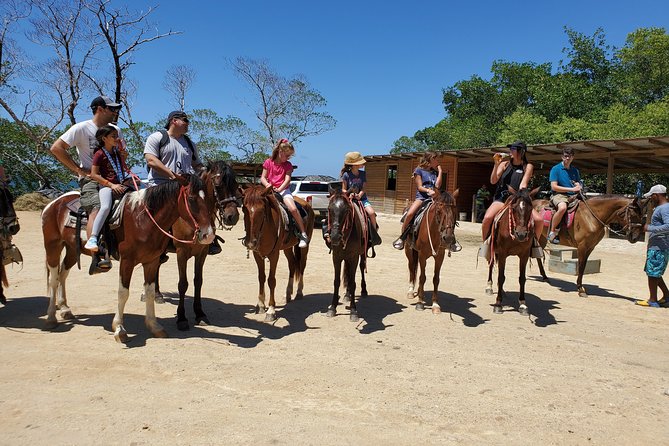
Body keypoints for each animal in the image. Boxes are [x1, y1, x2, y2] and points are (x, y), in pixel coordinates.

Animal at [41, 174, 214, 342]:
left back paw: (64, 309)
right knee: (53, 279)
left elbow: (150, 292)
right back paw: (51, 318)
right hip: (53, 246)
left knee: (63, 274)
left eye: (208, 198)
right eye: (191, 198)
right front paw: (119, 329)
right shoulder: (127, 261)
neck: (143, 219)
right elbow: (123, 293)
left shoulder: (151, 261)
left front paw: (154, 326)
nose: (209, 235)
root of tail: (54, 203)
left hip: (71, 249)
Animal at [170, 161, 240, 332]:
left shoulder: (202, 253)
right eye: (219, 185)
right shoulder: (181, 253)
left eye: (236, 185)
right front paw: (181, 318)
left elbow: (198, 281)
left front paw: (200, 313)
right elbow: (183, 284)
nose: (233, 217)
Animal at [241, 185, 314, 320]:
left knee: (302, 266)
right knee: (292, 264)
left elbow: (271, 280)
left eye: (262, 210)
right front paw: (260, 305)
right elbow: (261, 277)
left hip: (304, 247)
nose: (250, 242)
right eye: (244, 209)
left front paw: (271, 310)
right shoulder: (257, 254)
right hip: (287, 248)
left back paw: (299, 292)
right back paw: (288, 294)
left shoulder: (274, 255)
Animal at [322, 190, 366, 322]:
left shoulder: (354, 257)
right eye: (329, 209)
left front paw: (353, 311)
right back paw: (347, 295)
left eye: (347, 210)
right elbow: (336, 281)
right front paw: (332, 308)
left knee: (362, 268)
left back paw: (364, 290)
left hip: (362, 254)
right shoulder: (336, 257)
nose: (335, 236)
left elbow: (353, 283)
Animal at [482, 186, 536, 316]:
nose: (521, 234)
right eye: (514, 208)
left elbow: (522, 278)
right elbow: (501, 277)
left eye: (530, 208)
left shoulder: (524, 255)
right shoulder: (502, 253)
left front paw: (523, 304)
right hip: (493, 251)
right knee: (491, 265)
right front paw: (498, 304)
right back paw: (489, 287)